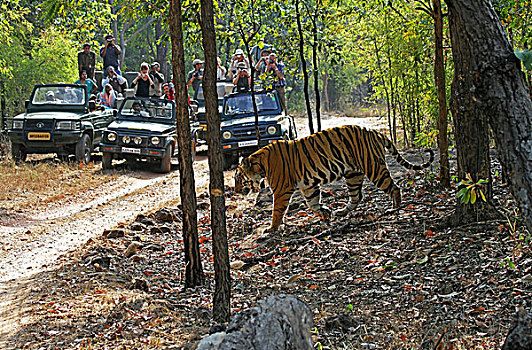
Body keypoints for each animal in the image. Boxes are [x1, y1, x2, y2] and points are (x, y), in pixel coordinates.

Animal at [236, 124, 432, 231]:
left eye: (239, 178)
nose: (237, 191)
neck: (261, 164)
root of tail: (374, 131)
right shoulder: (308, 186)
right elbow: (312, 202)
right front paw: (325, 212)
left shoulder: (282, 190)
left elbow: (277, 210)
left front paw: (271, 229)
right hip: (353, 174)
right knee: (356, 196)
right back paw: (341, 212)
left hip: (373, 167)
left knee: (394, 187)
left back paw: (395, 208)